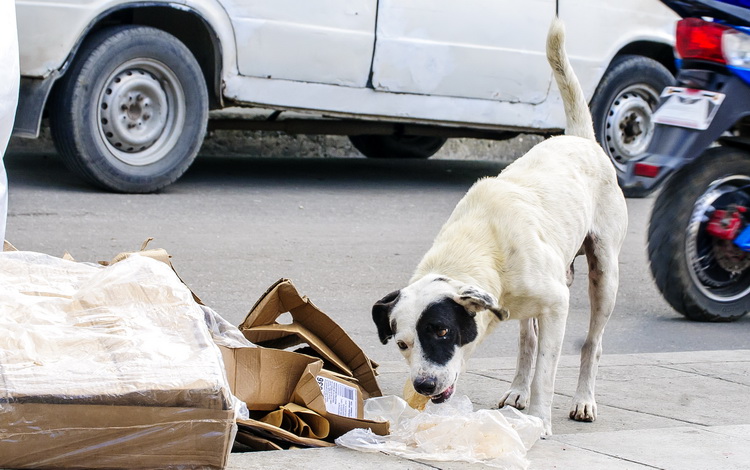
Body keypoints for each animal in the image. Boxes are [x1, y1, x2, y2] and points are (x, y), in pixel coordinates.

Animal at [374, 18, 628, 436]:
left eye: (442, 331)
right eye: (402, 344)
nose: (423, 385)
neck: (482, 244)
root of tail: (579, 138)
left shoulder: (557, 304)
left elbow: (547, 371)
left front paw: (539, 420)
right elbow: (532, 349)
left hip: (604, 274)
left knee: (592, 342)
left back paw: (583, 399)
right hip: (539, 301)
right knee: (528, 340)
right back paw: (517, 390)